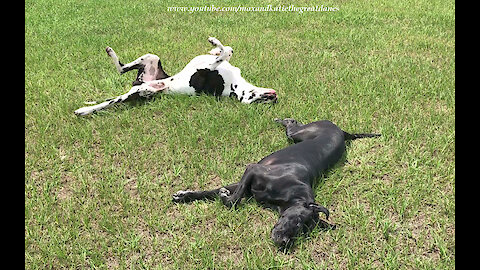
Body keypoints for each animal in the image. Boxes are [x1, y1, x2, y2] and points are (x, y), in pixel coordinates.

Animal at [75, 37, 278, 115]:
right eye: (262, 100)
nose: (274, 97)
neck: (235, 86)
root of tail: (137, 85)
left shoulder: (204, 71)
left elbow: (224, 53)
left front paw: (215, 46)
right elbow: (227, 50)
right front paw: (214, 47)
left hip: (139, 90)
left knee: (108, 102)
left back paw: (83, 110)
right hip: (151, 57)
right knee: (122, 69)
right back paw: (110, 53)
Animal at [173, 118, 382, 249]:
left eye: (304, 233)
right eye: (297, 222)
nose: (285, 243)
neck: (292, 194)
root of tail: (342, 132)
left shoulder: (247, 184)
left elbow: (221, 192)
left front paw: (187, 195)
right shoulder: (252, 170)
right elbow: (231, 198)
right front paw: (210, 196)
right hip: (298, 134)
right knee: (292, 124)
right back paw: (283, 120)